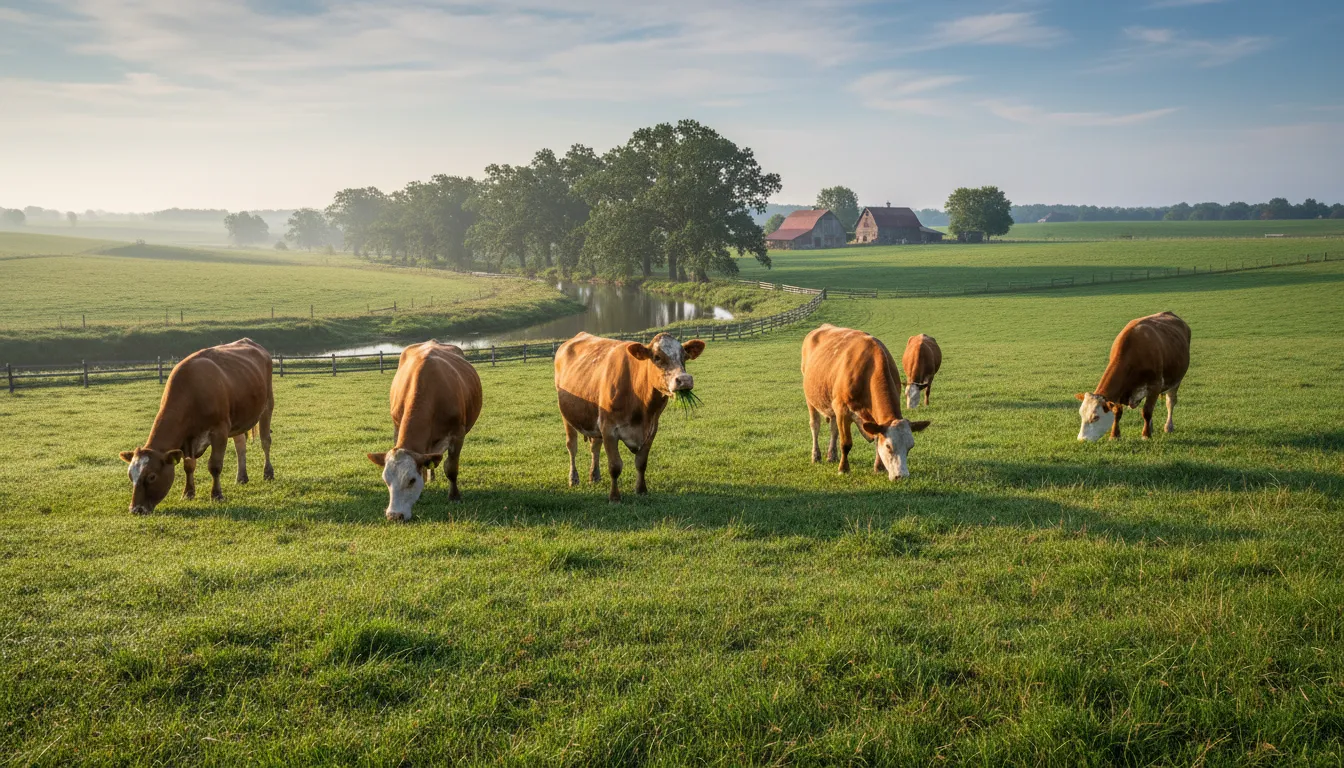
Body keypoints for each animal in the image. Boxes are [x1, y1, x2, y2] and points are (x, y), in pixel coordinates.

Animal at [119, 338, 274, 514]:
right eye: (131, 476)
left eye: (152, 476)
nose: (135, 509)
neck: (191, 393)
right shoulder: (188, 439)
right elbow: (188, 466)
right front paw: (188, 493)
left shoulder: (220, 430)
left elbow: (215, 465)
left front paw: (217, 495)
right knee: (240, 445)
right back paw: (241, 477)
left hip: (267, 404)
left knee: (265, 441)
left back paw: (268, 473)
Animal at [367, 341, 482, 521]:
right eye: (386, 481)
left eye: (412, 480)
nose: (394, 515)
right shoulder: (397, 426)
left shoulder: (458, 435)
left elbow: (451, 468)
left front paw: (454, 496)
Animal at [554, 331, 705, 502]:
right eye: (657, 357)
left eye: (684, 356)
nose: (684, 380)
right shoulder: (609, 429)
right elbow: (615, 466)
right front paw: (614, 497)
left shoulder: (651, 429)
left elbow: (641, 463)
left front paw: (641, 490)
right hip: (566, 417)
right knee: (572, 447)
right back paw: (573, 479)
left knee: (595, 447)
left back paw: (595, 476)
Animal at [802, 324, 930, 480]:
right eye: (888, 446)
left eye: (910, 446)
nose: (902, 476)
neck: (869, 370)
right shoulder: (842, 409)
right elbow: (846, 443)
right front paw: (843, 469)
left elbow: (876, 440)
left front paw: (879, 467)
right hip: (810, 399)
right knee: (815, 426)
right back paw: (816, 456)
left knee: (833, 428)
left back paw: (832, 455)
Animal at [1076, 311, 1191, 442]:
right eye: (1081, 414)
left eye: (1095, 417)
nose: (1081, 439)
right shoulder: (1120, 392)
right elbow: (1117, 412)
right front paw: (1114, 435)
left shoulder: (1155, 386)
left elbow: (1147, 411)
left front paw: (1145, 435)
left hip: (1176, 381)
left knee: (1170, 402)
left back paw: (1168, 426)